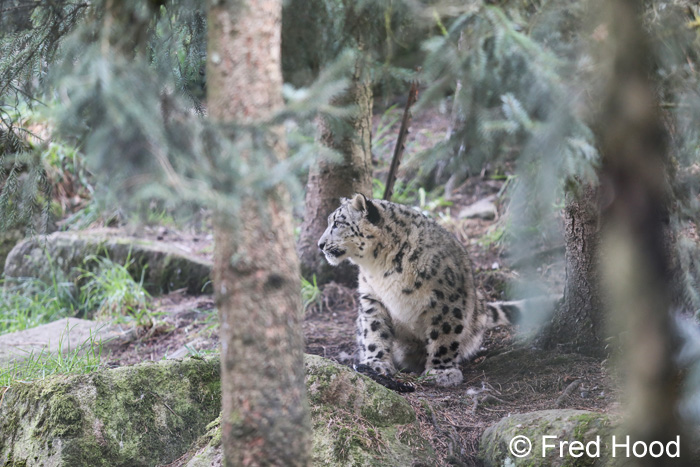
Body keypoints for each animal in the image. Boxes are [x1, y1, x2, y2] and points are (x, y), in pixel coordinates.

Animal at [318, 193, 522, 387]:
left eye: (338, 223)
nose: (320, 244)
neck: (378, 267)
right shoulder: (372, 297)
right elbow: (375, 330)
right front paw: (376, 363)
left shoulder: (446, 299)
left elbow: (444, 335)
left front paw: (442, 372)